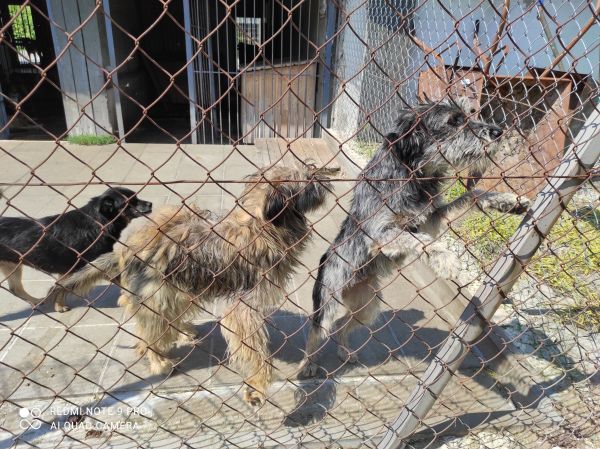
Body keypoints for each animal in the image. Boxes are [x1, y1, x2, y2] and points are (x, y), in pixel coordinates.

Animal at [0, 187, 152, 312]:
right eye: (130, 201)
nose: (150, 204)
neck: (97, 222)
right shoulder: (97, 266)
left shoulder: (69, 270)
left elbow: (60, 287)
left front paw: (58, 306)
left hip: (12, 265)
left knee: (15, 289)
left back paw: (36, 301)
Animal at [47, 164, 331, 406]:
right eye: (306, 179)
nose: (325, 176)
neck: (263, 224)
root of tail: (127, 250)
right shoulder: (242, 307)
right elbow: (253, 346)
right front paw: (259, 383)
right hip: (156, 294)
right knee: (150, 332)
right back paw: (159, 361)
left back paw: (180, 331)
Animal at [301, 100, 531, 377]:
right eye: (453, 121)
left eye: (469, 114)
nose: (498, 131)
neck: (413, 173)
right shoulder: (378, 234)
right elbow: (417, 239)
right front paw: (445, 258)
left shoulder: (431, 220)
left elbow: (471, 195)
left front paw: (507, 201)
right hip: (329, 302)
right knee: (316, 331)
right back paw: (309, 364)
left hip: (367, 307)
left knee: (343, 325)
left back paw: (345, 351)